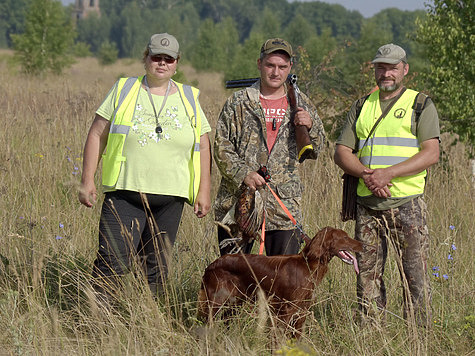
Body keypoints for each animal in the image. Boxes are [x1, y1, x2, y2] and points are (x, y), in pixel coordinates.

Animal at [198, 228, 364, 336]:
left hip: (234, 304)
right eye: (344, 238)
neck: (307, 265)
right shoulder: (285, 311)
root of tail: (211, 265)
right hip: (216, 303)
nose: (363, 245)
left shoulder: (301, 312)